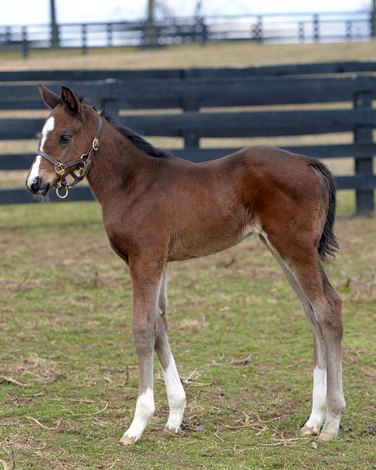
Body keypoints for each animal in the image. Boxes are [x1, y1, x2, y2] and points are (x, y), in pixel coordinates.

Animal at [25, 85, 346, 444]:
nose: (35, 183)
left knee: (328, 307)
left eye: (64, 136)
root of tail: (309, 162)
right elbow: (160, 323)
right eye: (42, 135)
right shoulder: (159, 259)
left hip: (296, 248)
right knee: (312, 312)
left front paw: (137, 424)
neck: (132, 184)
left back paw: (331, 422)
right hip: (280, 248)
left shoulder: (145, 257)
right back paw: (314, 419)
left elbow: (143, 328)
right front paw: (175, 416)